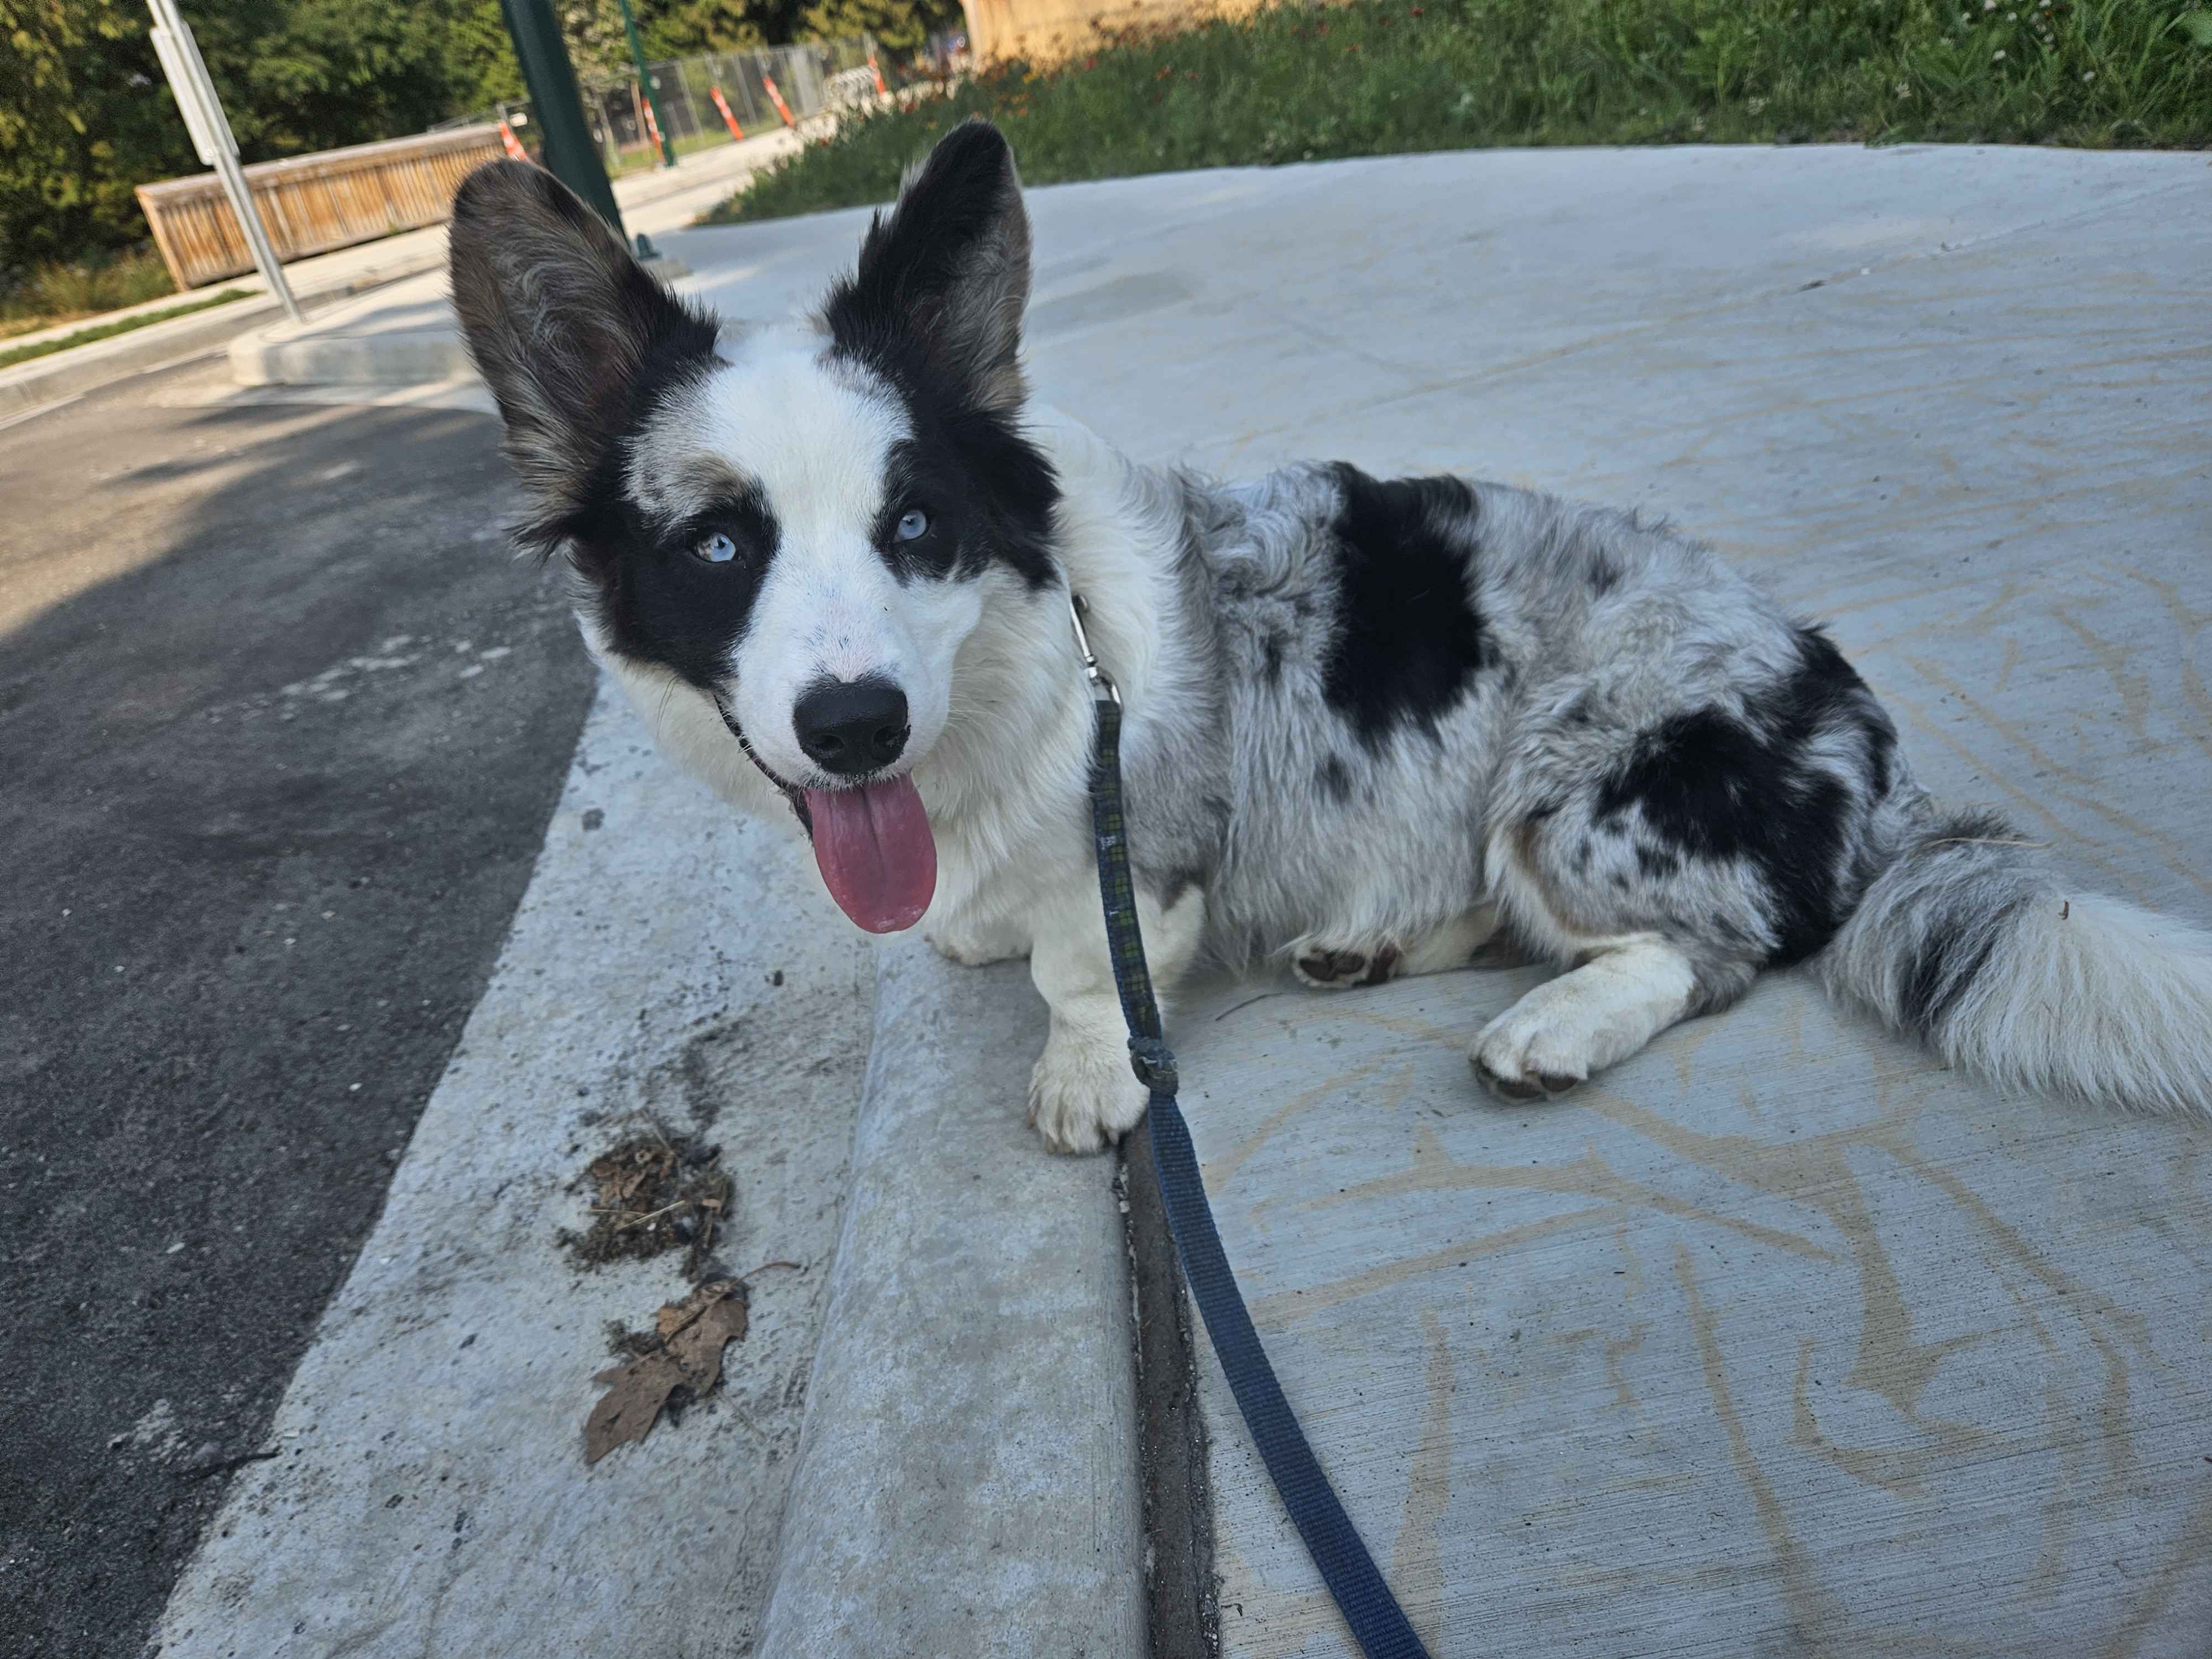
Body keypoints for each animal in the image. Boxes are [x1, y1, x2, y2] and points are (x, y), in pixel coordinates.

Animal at [449, 120, 2212, 1152]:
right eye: (719, 546)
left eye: (915, 527)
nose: (855, 724)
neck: (1011, 677)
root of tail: (1846, 720)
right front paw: (971, 936)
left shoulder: (1140, 846)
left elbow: (1090, 969)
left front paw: (1087, 1075)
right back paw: (1365, 945)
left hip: (1571, 793)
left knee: (1698, 955)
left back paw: (1549, 1028)